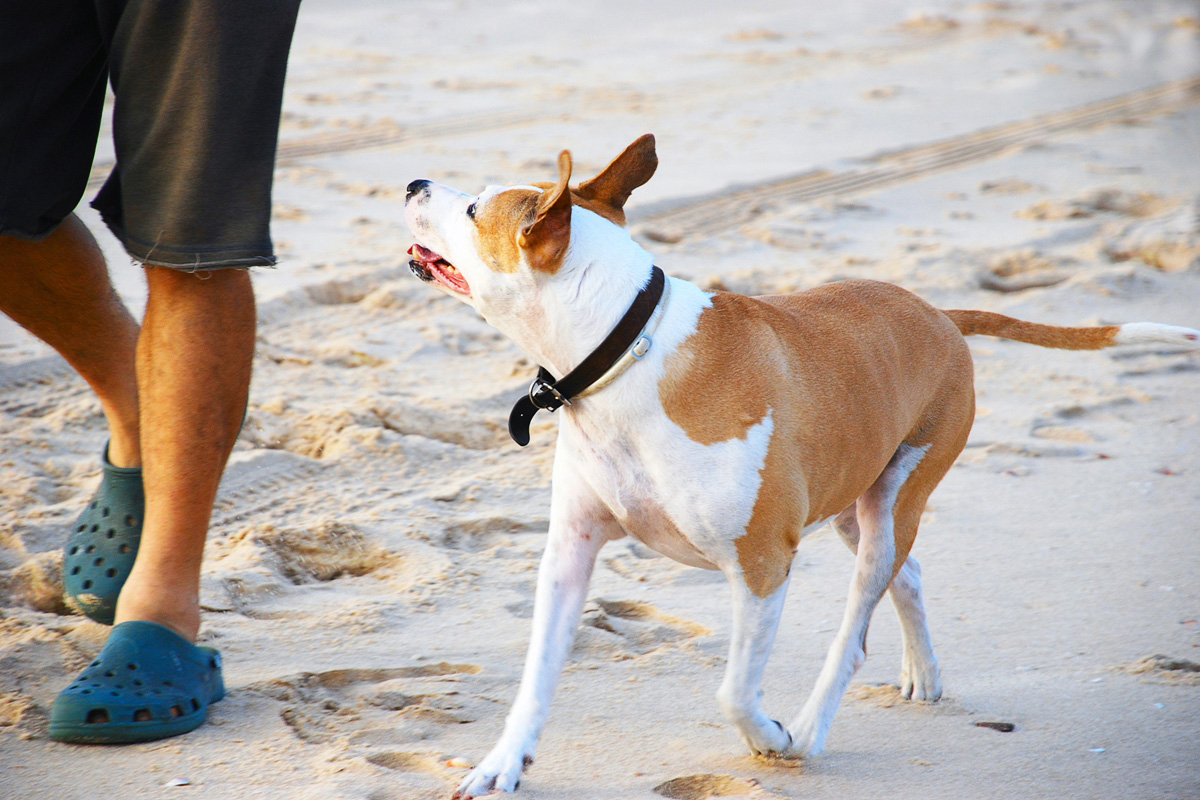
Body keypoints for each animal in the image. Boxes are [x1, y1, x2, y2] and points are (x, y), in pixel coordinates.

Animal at [405, 134, 1200, 796]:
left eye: (473, 208)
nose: (413, 180)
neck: (626, 349)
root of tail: (943, 317)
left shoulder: (763, 564)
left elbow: (733, 691)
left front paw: (770, 736)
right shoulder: (569, 554)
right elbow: (537, 676)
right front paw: (502, 765)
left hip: (891, 505)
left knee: (854, 633)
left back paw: (811, 730)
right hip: (856, 506)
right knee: (908, 573)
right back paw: (924, 673)